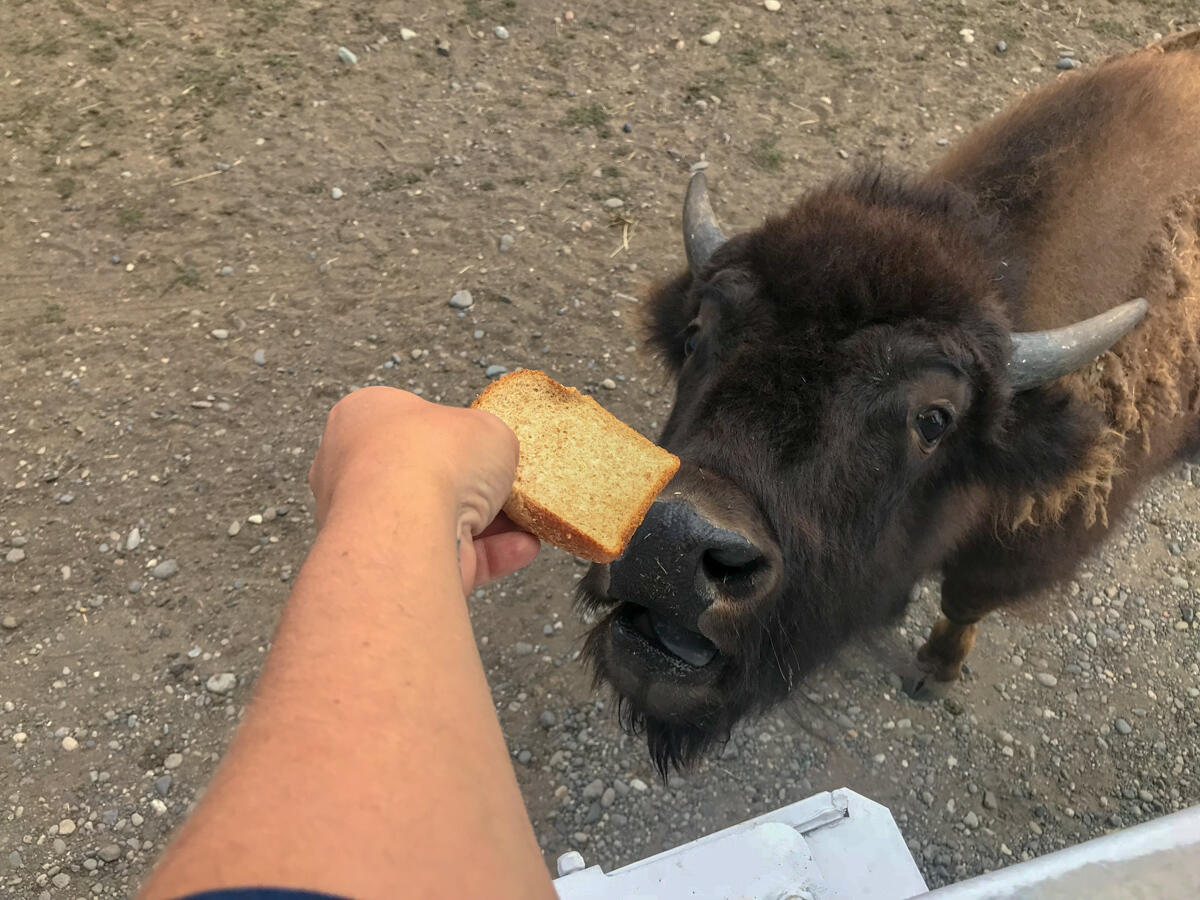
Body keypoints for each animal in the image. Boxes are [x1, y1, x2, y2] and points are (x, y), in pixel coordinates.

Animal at [576, 31, 1200, 772]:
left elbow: (964, 599)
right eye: (699, 332)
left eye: (934, 418)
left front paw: (933, 670)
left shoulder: (1024, 548)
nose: (668, 544)